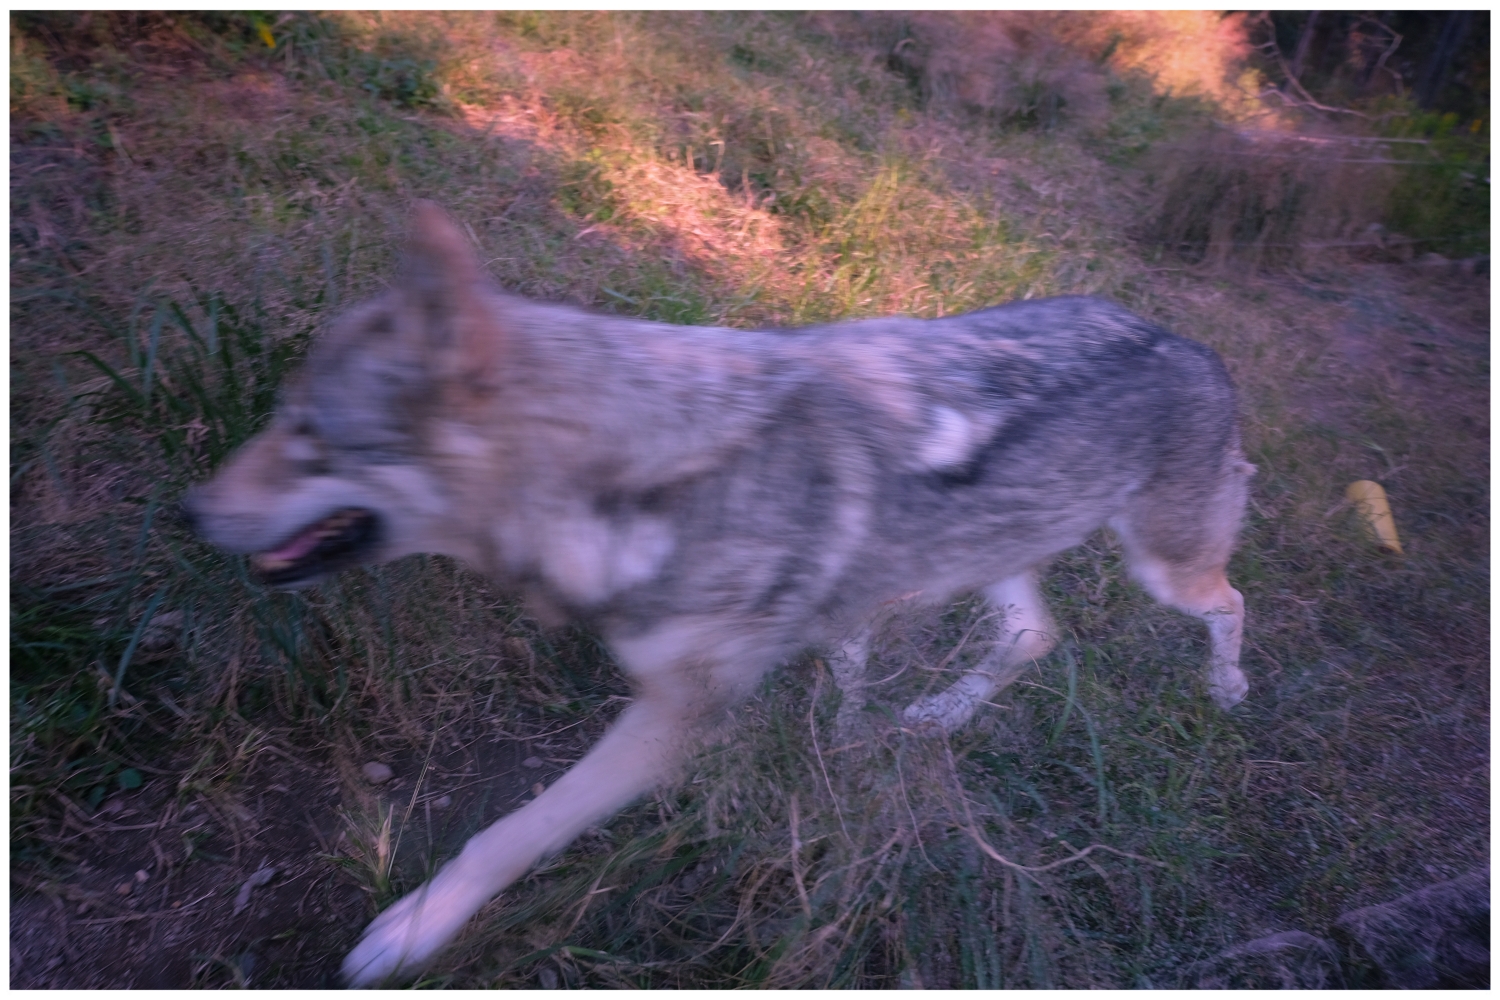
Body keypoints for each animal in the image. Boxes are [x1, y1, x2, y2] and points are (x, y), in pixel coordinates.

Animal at [187, 203, 1254, 983]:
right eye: (285, 419)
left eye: (309, 436)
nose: (195, 508)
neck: (644, 473)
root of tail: (1189, 342)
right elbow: (846, 668)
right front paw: (849, 724)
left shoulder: (678, 716)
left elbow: (511, 835)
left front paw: (409, 931)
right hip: (988, 558)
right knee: (1036, 634)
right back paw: (938, 713)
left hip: (1163, 568)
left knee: (1228, 604)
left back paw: (1226, 690)